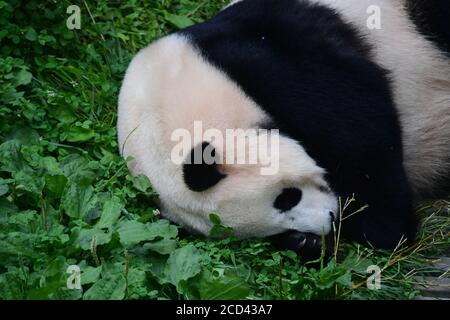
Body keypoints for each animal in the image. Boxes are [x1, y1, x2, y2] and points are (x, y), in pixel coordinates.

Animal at [118, 0, 450, 260]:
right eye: (271, 230)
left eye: (286, 197)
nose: (330, 219)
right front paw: (305, 243)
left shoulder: (269, 62)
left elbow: (364, 136)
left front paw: (387, 228)